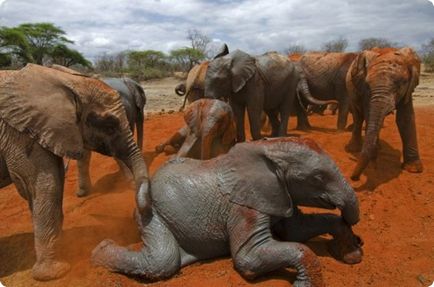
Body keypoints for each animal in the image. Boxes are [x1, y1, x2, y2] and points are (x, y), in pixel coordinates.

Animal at [91, 138, 362, 286]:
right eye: (317, 178)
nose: (360, 240)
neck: (268, 147)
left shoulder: (277, 193)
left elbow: (296, 230)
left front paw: (350, 255)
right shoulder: (243, 208)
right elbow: (248, 258)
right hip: (151, 212)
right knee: (163, 260)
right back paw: (99, 252)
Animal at [203, 51, 336, 144]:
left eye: (219, 80)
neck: (231, 60)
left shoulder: (255, 82)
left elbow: (253, 109)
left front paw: (257, 141)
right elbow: (237, 110)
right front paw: (240, 142)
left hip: (290, 84)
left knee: (284, 109)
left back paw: (280, 137)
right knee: (271, 111)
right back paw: (273, 137)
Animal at [344, 48, 422, 181]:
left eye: (401, 84)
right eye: (367, 84)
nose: (354, 178)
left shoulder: (408, 90)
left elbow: (405, 119)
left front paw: (414, 170)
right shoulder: (363, 88)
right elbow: (368, 113)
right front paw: (373, 159)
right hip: (351, 90)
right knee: (358, 116)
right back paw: (355, 148)